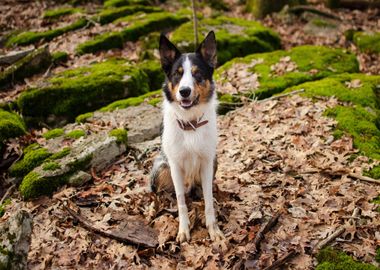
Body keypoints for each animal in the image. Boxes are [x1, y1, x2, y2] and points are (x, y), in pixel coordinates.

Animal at [150, 31, 224, 243]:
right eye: (178, 73)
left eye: (197, 74)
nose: (184, 91)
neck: (190, 124)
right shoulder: (175, 165)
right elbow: (181, 201)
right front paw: (183, 229)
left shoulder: (207, 162)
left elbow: (208, 202)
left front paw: (213, 228)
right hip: (160, 169)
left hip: (215, 160)